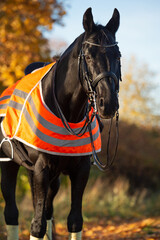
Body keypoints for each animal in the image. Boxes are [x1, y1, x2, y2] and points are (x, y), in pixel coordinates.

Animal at [0, 7, 121, 240]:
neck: (67, 113)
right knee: (12, 213)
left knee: (47, 212)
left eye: (118, 56)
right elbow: (36, 226)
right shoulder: (41, 170)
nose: (108, 103)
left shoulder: (80, 170)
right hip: (8, 164)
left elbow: (74, 221)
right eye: (88, 56)